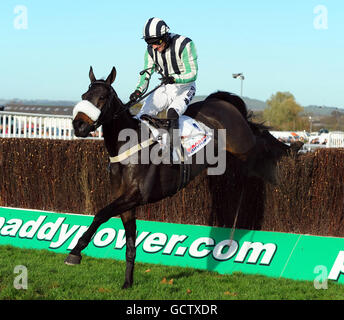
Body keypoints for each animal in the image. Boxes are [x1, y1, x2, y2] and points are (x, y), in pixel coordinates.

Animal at [64, 66, 292, 288]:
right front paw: (127, 283)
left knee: (261, 138)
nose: (78, 126)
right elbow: (129, 243)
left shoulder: (136, 195)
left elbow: (100, 214)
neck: (127, 145)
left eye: (102, 97)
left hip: (243, 143)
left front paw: (75, 252)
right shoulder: (127, 202)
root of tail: (219, 101)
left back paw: (289, 151)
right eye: (84, 95)